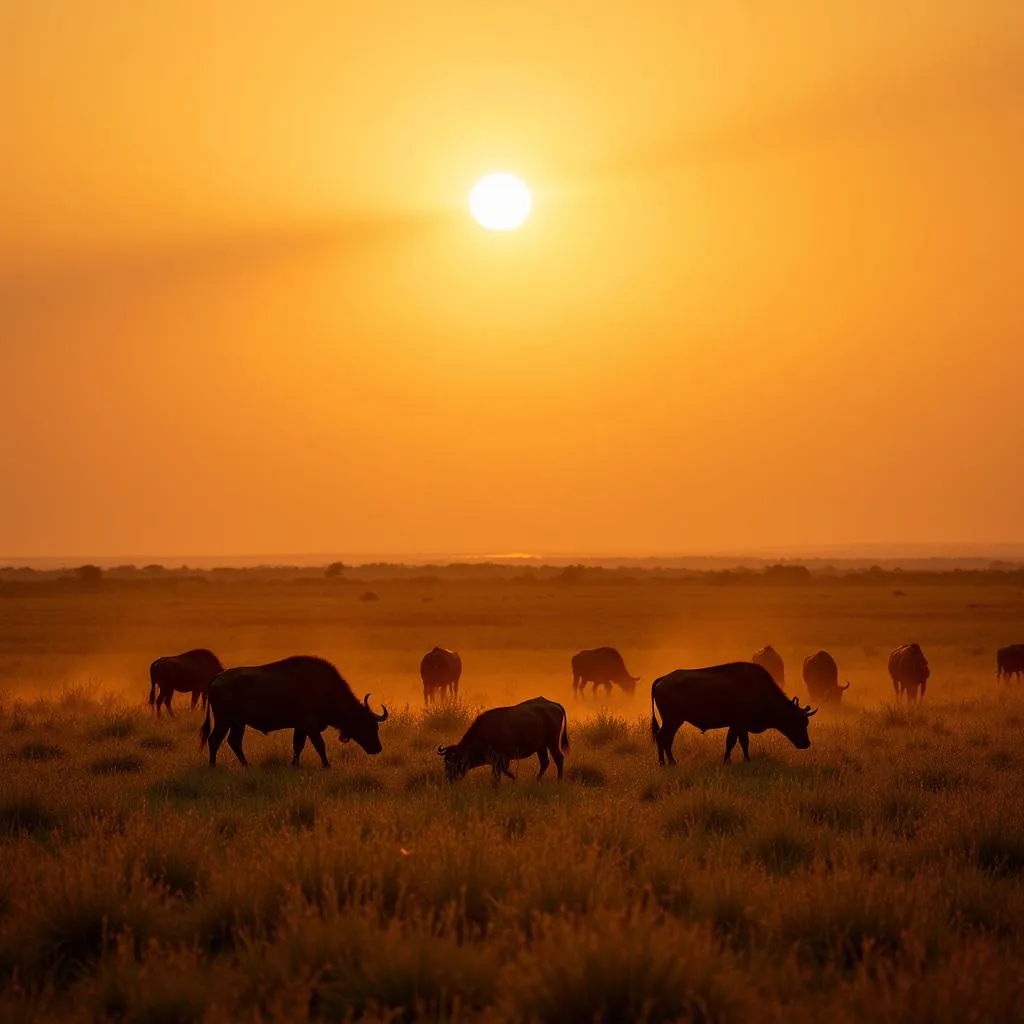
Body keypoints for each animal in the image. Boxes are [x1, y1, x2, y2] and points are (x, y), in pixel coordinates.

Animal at [199, 655, 387, 770]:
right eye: (368, 725)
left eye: (376, 727)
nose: (377, 748)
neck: (325, 689)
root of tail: (217, 677)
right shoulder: (310, 727)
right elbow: (320, 745)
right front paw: (327, 766)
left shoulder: (301, 728)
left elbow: (298, 746)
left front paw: (295, 765)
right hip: (224, 721)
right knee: (215, 740)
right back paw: (213, 765)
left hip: (238, 724)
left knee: (234, 742)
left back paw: (247, 765)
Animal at [436, 696, 573, 782]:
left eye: (451, 761)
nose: (449, 779)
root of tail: (555, 705)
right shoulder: (497, 762)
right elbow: (502, 773)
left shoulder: (501, 760)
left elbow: (501, 774)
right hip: (541, 747)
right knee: (545, 762)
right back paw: (537, 780)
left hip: (552, 743)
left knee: (559, 758)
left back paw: (559, 780)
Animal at [647, 663, 815, 770]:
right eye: (800, 721)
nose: (806, 743)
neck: (759, 689)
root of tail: (663, 679)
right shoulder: (738, 724)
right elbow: (735, 742)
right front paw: (731, 761)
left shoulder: (739, 726)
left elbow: (740, 743)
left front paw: (741, 760)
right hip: (673, 721)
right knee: (663, 738)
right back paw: (667, 763)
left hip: (673, 722)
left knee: (665, 739)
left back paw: (667, 763)